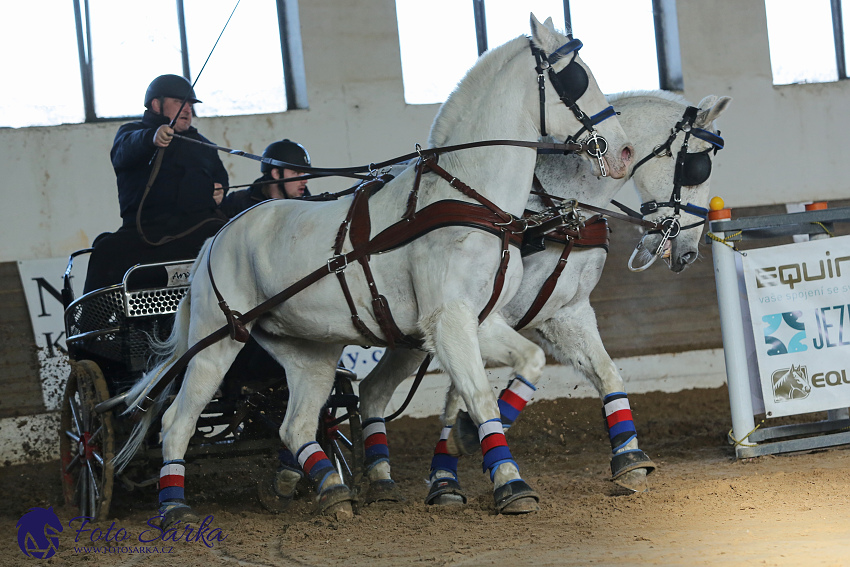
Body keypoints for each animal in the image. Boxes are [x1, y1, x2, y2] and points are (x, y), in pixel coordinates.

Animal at [112, 15, 632, 524]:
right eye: (576, 76)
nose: (623, 151)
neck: (469, 198)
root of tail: (215, 239)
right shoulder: (450, 321)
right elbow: (481, 393)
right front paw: (509, 481)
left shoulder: (477, 320)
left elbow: (528, 363)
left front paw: (464, 436)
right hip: (217, 342)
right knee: (177, 423)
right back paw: (174, 507)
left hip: (309, 352)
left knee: (296, 425)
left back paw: (332, 489)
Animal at [356, 90, 728, 506]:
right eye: (698, 168)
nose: (688, 252)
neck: (554, 209)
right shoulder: (481, 316)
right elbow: (459, 395)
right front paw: (450, 471)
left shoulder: (562, 313)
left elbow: (604, 372)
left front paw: (630, 460)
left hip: (408, 337)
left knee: (371, 390)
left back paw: (379, 479)